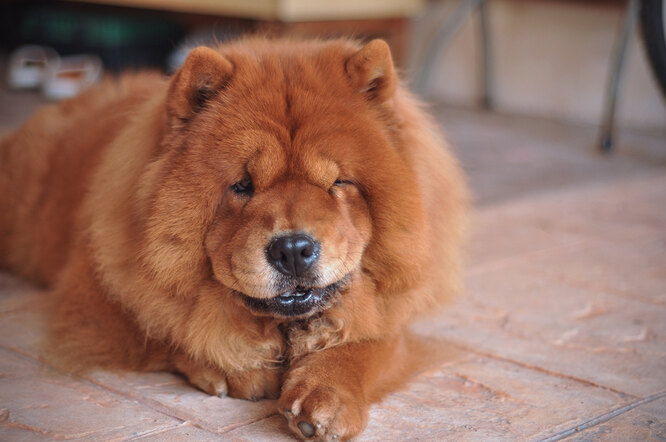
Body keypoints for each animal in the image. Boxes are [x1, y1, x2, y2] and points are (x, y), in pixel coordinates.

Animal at [0, 38, 466, 442]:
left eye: (338, 183)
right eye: (243, 186)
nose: (292, 250)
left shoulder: (391, 315)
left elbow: (374, 340)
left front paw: (327, 394)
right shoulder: (96, 299)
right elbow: (173, 325)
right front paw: (234, 365)